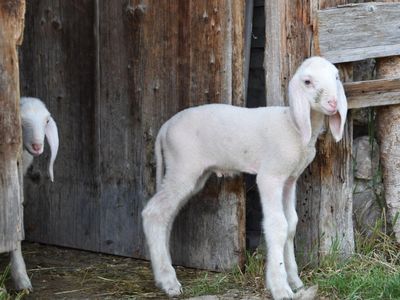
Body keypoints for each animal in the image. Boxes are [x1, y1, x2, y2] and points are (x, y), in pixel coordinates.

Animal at [143, 56, 346, 300]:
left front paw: (295, 281)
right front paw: (280, 287)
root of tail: (165, 128)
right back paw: (169, 281)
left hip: (190, 174)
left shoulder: (289, 180)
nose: (333, 103)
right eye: (307, 81)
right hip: (182, 168)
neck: (293, 126)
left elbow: (291, 224)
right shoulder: (270, 177)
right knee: (153, 213)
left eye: (336, 77)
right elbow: (277, 225)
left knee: (167, 215)